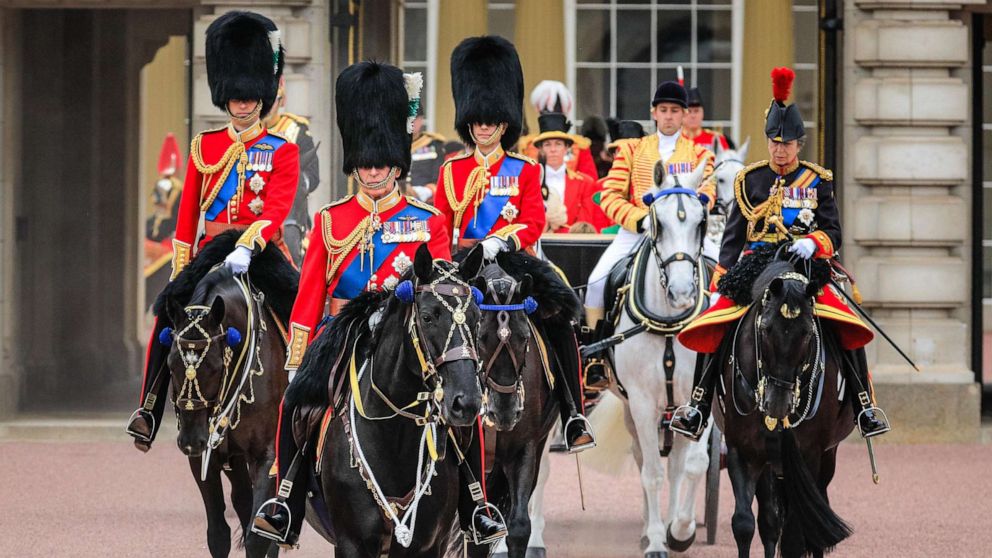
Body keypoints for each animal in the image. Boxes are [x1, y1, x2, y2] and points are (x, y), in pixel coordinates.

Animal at [716, 262, 856, 558]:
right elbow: (744, 523)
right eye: (766, 329)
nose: (778, 405)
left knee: (814, 515)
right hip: (769, 464)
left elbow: (796, 536)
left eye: (807, 332)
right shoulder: (741, 451)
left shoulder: (809, 455)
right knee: (770, 520)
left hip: (825, 459)